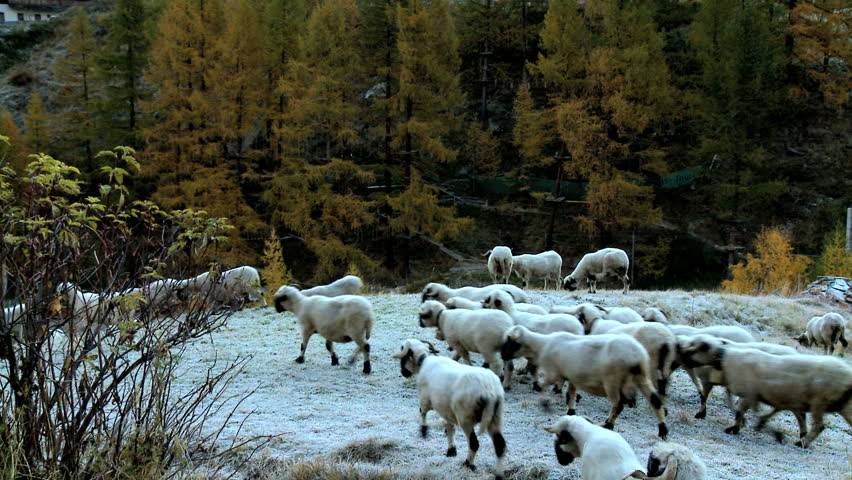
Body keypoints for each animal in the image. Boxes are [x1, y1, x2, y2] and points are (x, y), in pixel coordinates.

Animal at [394, 339, 507, 480]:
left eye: (403, 357)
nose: (403, 373)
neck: (424, 361)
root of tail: (489, 391)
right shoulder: (447, 411)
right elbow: (450, 429)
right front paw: (451, 450)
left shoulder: (425, 399)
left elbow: (422, 413)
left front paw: (424, 431)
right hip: (496, 417)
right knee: (500, 445)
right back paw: (499, 474)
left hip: (466, 418)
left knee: (474, 443)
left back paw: (468, 464)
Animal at [500, 326, 668, 438]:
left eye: (510, 342)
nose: (502, 355)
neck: (542, 346)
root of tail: (636, 357)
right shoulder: (572, 377)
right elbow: (571, 394)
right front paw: (571, 412)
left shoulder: (555, 374)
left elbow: (541, 386)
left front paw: (545, 404)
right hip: (642, 377)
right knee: (655, 401)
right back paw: (663, 430)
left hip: (612, 381)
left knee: (618, 405)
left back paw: (608, 424)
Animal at [679, 336, 852, 447]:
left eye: (695, 347)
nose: (681, 351)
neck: (725, 358)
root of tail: (847, 375)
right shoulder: (750, 394)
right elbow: (738, 407)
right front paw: (743, 426)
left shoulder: (749, 393)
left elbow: (741, 409)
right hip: (837, 404)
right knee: (803, 417)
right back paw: (801, 437)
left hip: (819, 402)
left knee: (817, 426)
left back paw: (802, 442)